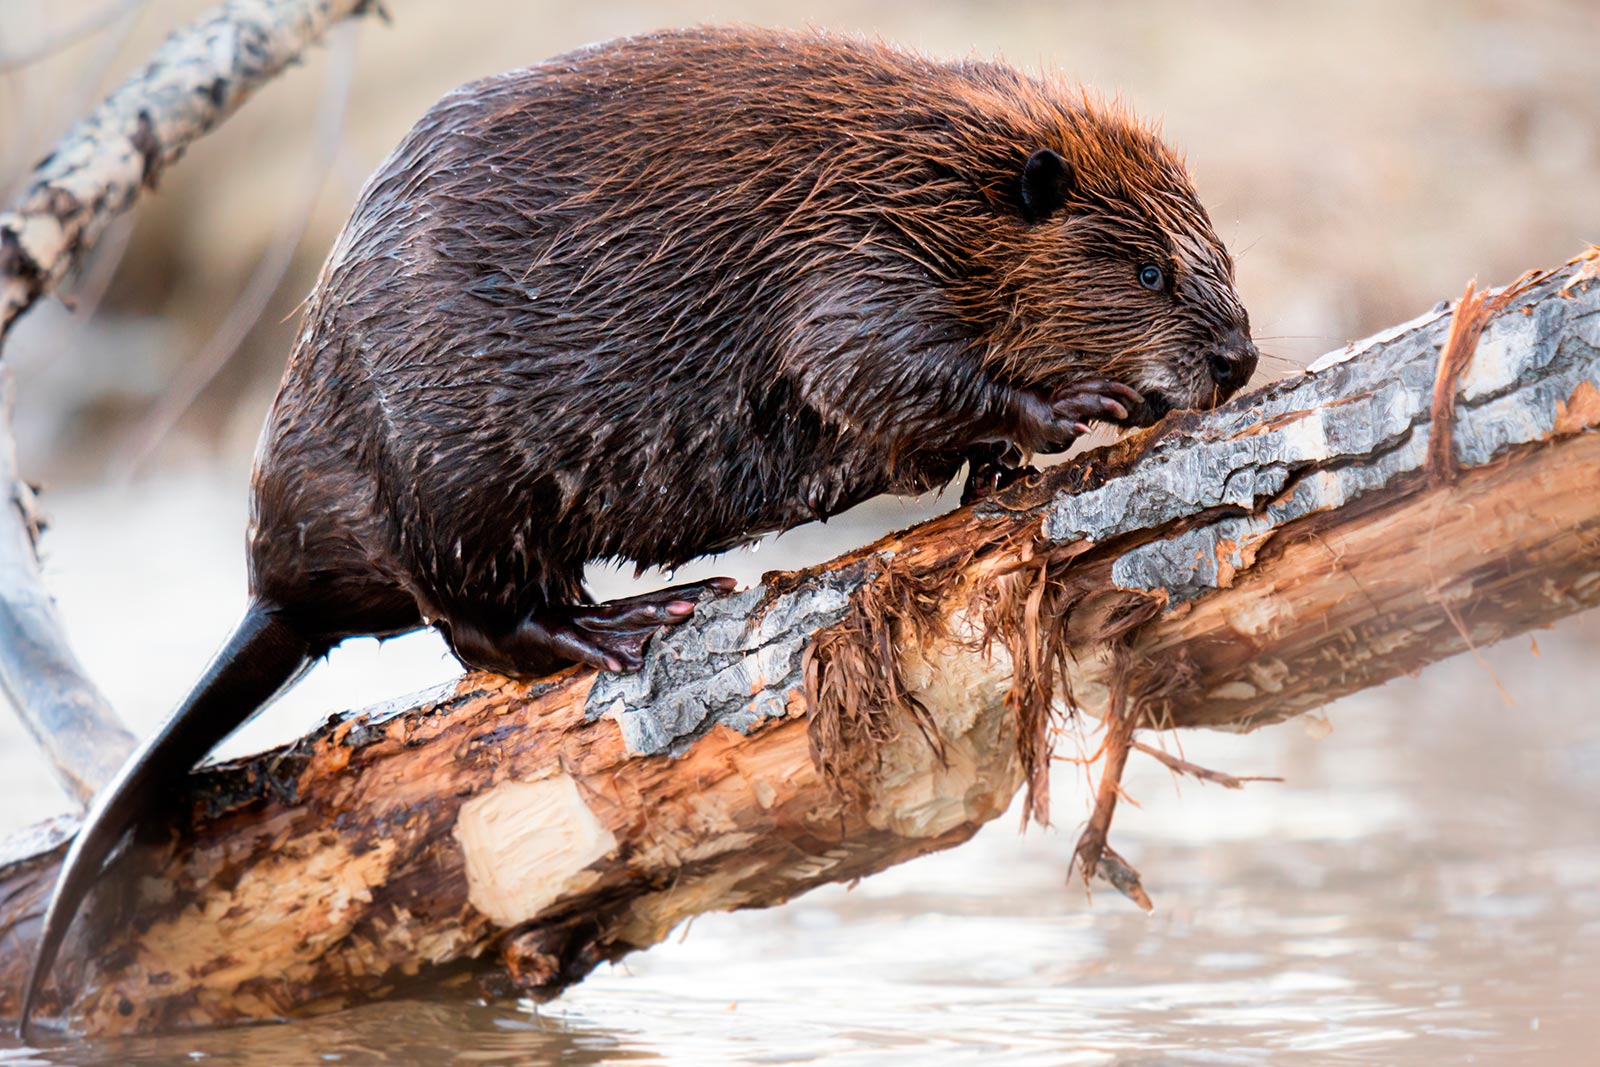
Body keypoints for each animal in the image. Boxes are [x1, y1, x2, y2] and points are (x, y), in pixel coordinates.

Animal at [18, 20, 1254, 1030]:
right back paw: (632, 619)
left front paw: (998, 462)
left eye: (1217, 253)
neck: (929, 171)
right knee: (479, 622)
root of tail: (276, 590)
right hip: (453, 470)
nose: (1238, 358)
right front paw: (1071, 408)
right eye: (1148, 267)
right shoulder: (856, 257)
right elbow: (865, 363)